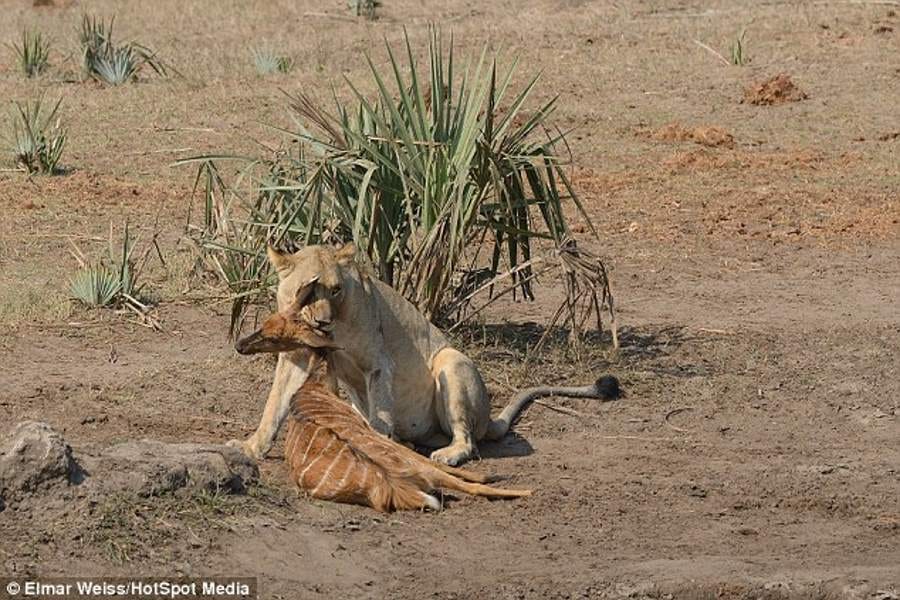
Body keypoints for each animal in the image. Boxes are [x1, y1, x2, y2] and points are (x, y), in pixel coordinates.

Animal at [229, 243, 620, 466]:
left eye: (336, 289)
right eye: (307, 290)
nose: (324, 322)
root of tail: (489, 419)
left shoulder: (378, 363)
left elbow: (381, 413)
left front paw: (376, 447)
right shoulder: (296, 356)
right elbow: (274, 405)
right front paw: (250, 448)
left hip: (451, 360)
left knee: (467, 440)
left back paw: (446, 454)